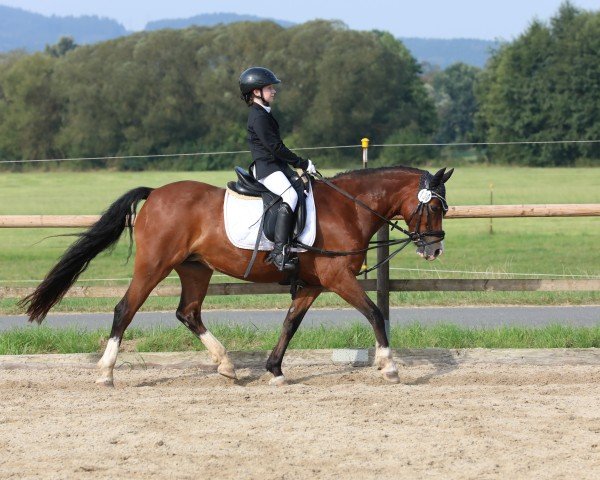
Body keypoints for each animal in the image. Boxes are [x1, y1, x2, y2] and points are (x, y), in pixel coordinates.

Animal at [19, 165, 454, 386]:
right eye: (434, 208)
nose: (434, 249)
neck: (349, 207)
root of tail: (156, 192)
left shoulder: (313, 285)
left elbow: (290, 324)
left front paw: (274, 370)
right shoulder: (337, 279)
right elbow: (375, 313)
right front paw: (389, 365)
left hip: (195, 269)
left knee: (188, 312)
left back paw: (226, 365)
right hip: (153, 265)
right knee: (124, 309)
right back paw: (106, 373)